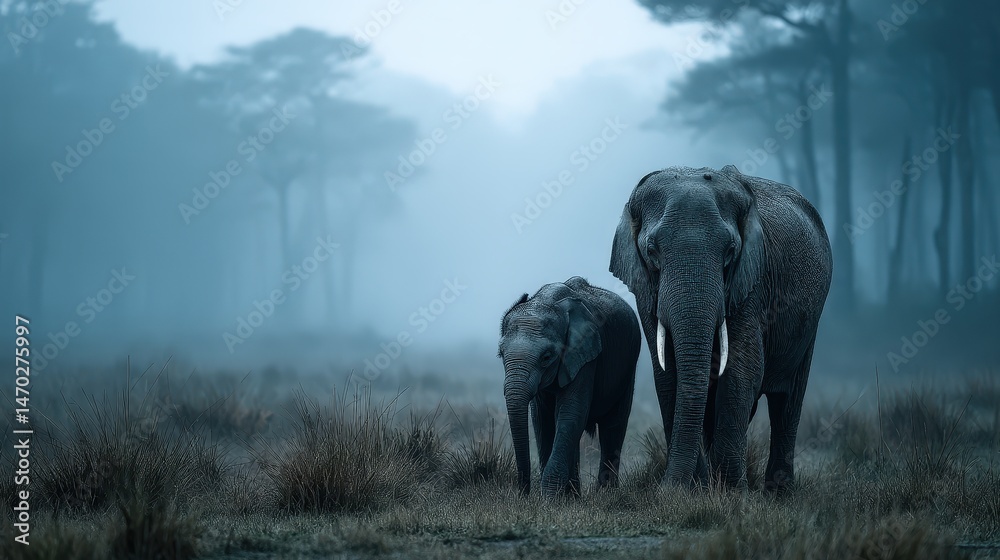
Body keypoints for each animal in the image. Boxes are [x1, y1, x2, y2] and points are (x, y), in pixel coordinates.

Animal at [498, 276, 641, 497]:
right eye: (501, 354)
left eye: (546, 357)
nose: (523, 493)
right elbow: (543, 419)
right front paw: (557, 498)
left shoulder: (585, 355)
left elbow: (571, 412)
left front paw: (549, 499)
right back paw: (574, 497)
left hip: (628, 365)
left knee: (614, 425)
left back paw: (605, 495)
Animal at [609, 165, 832, 492]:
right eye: (651, 250)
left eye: (730, 251)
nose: (664, 489)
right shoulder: (645, 289)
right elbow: (668, 374)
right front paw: (697, 489)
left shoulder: (752, 280)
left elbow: (742, 369)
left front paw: (732, 491)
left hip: (811, 320)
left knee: (788, 401)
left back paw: (778, 492)